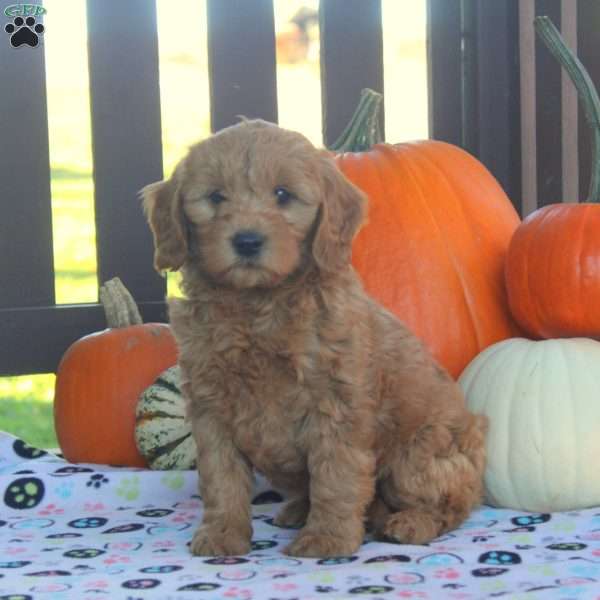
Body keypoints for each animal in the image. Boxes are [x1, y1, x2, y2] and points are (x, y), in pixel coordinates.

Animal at [144, 119, 488, 560]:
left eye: (282, 195)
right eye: (216, 197)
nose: (247, 240)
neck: (257, 305)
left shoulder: (335, 403)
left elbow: (335, 476)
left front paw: (327, 540)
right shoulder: (210, 406)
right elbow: (221, 478)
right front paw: (222, 535)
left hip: (418, 456)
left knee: (453, 504)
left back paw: (409, 524)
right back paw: (298, 511)